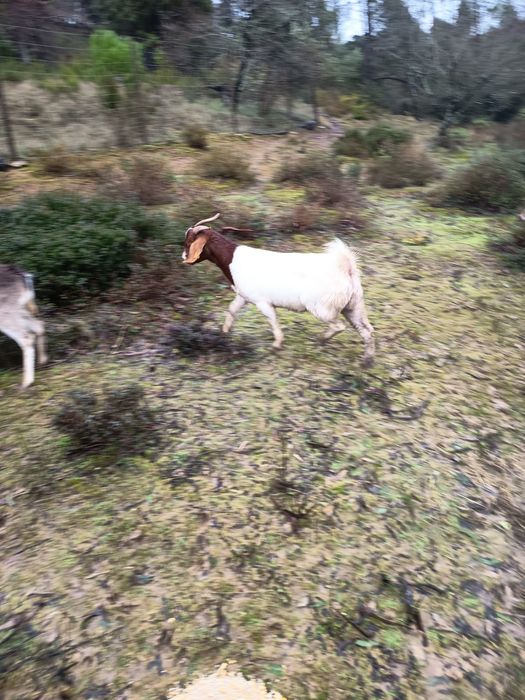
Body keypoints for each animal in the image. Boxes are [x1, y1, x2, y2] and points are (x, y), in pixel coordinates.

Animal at [182, 214, 375, 366]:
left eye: (189, 241)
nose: (183, 257)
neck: (232, 259)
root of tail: (346, 269)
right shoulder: (243, 296)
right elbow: (231, 310)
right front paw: (224, 333)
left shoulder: (263, 302)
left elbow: (273, 321)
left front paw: (276, 345)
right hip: (353, 307)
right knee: (367, 330)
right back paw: (367, 361)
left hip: (322, 308)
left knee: (339, 326)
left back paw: (321, 340)